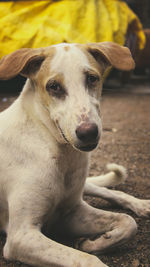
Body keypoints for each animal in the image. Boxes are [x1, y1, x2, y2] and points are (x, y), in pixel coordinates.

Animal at [0, 42, 149, 267]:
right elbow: (86, 260)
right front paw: (93, 247)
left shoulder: (70, 213)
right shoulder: (21, 236)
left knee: (109, 192)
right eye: (53, 86)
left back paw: (141, 204)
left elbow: (127, 222)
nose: (88, 132)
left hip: (82, 186)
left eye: (92, 78)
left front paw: (94, 243)